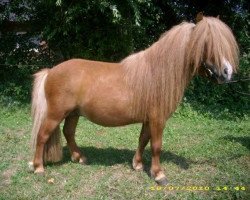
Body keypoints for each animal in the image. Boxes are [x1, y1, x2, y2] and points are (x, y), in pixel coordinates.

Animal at [28, 14, 238, 185]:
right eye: (206, 41)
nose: (226, 73)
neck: (157, 74)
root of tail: (51, 71)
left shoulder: (148, 119)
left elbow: (143, 139)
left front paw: (137, 165)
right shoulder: (158, 119)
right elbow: (156, 145)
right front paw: (159, 175)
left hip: (73, 113)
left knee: (68, 133)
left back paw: (79, 158)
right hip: (56, 113)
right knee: (42, 135)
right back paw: (38, 167)